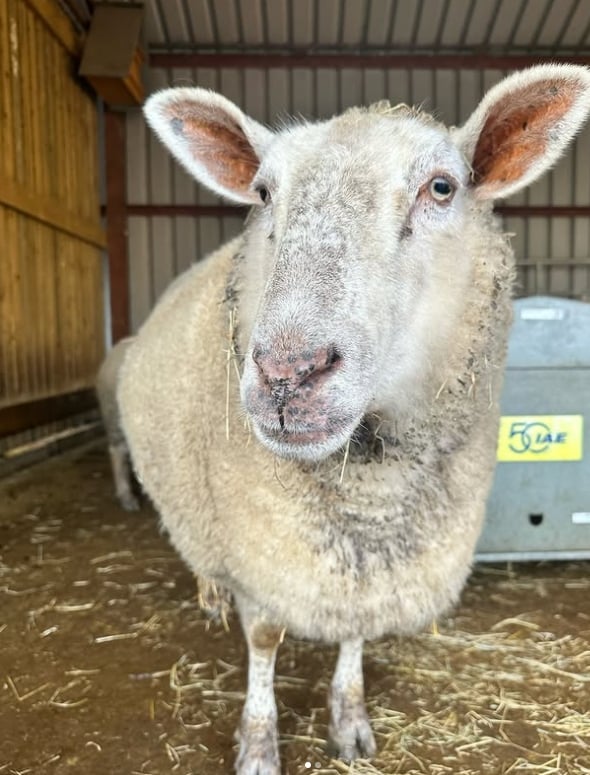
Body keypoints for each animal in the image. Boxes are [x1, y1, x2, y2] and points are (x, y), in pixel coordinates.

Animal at [118, 66, 590, 775]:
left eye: (442, 187)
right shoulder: (260, 548)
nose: (287, 373)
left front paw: (350, 720)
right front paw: (259, 744)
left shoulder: (375, 573)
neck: (370, 495)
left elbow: (356, 634)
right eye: (263, 192)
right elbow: (265, 638)